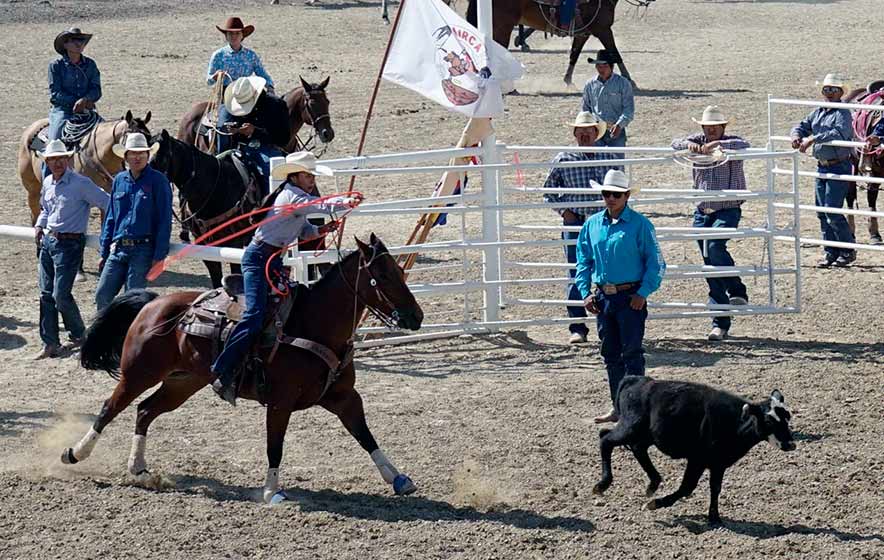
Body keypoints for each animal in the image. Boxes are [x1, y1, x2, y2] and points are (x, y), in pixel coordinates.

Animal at [61, 234, 424, 506]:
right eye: (383, 276)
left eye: (399, 271)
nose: (416, 317)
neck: (312, 324)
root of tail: (152, 303)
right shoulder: (279, 403)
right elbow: (275, 445)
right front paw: (272, 491)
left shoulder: (345, 397)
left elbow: (365, 435)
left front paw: (398, 478)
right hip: (138, 374)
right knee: (110, 408)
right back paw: (75, 454)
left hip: (183, 382)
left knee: (145, 411)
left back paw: (138, 468)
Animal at [466, 0, 640, 86]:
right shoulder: (603, 30)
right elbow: (615, 53)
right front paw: (629, 79)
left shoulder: (583, 34)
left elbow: (574, 54)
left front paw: (568, 80)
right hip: (504, 25)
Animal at [592, 376, 796, 524]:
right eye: (768, 421)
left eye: (787, 416)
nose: (790, 444)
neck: (733, 421)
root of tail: (635, 380)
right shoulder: (697, 460)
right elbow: (687, 487)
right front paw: (655, 504)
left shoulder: (718, 464)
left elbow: (715, 488)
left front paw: (714, 517)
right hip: (629, 428)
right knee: (605, 439)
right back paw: (602, 484)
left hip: (644, 435)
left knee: (636, 448)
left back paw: (653, 483)